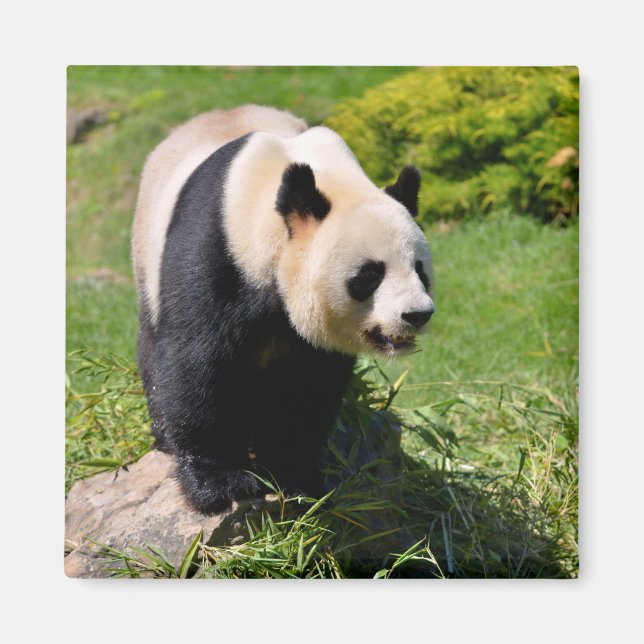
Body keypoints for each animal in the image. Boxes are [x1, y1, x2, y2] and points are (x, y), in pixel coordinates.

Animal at [132, 105, 435, 515]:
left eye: (420, 270)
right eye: (370, 274)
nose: (416, 314)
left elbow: (305, 387)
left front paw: (296, 478)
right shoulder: (218, 248)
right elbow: (196, 361)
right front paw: (221, 483)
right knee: (153, 349)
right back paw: (165, 438)